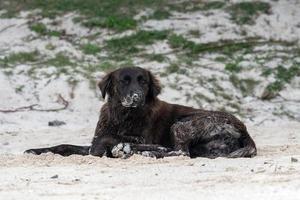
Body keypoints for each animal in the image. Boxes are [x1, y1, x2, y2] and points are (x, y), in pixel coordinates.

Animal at [25, 66, 258, 159]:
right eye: (123, 81)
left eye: (143, 82)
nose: (136, 96)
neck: (122, 116)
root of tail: (245, 131)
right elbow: (63, 145)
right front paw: (37, 150)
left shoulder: (140, 138)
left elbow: (107, 142)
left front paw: (121, 148)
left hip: (183, 124)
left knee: (180, 152)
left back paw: (145, 152)